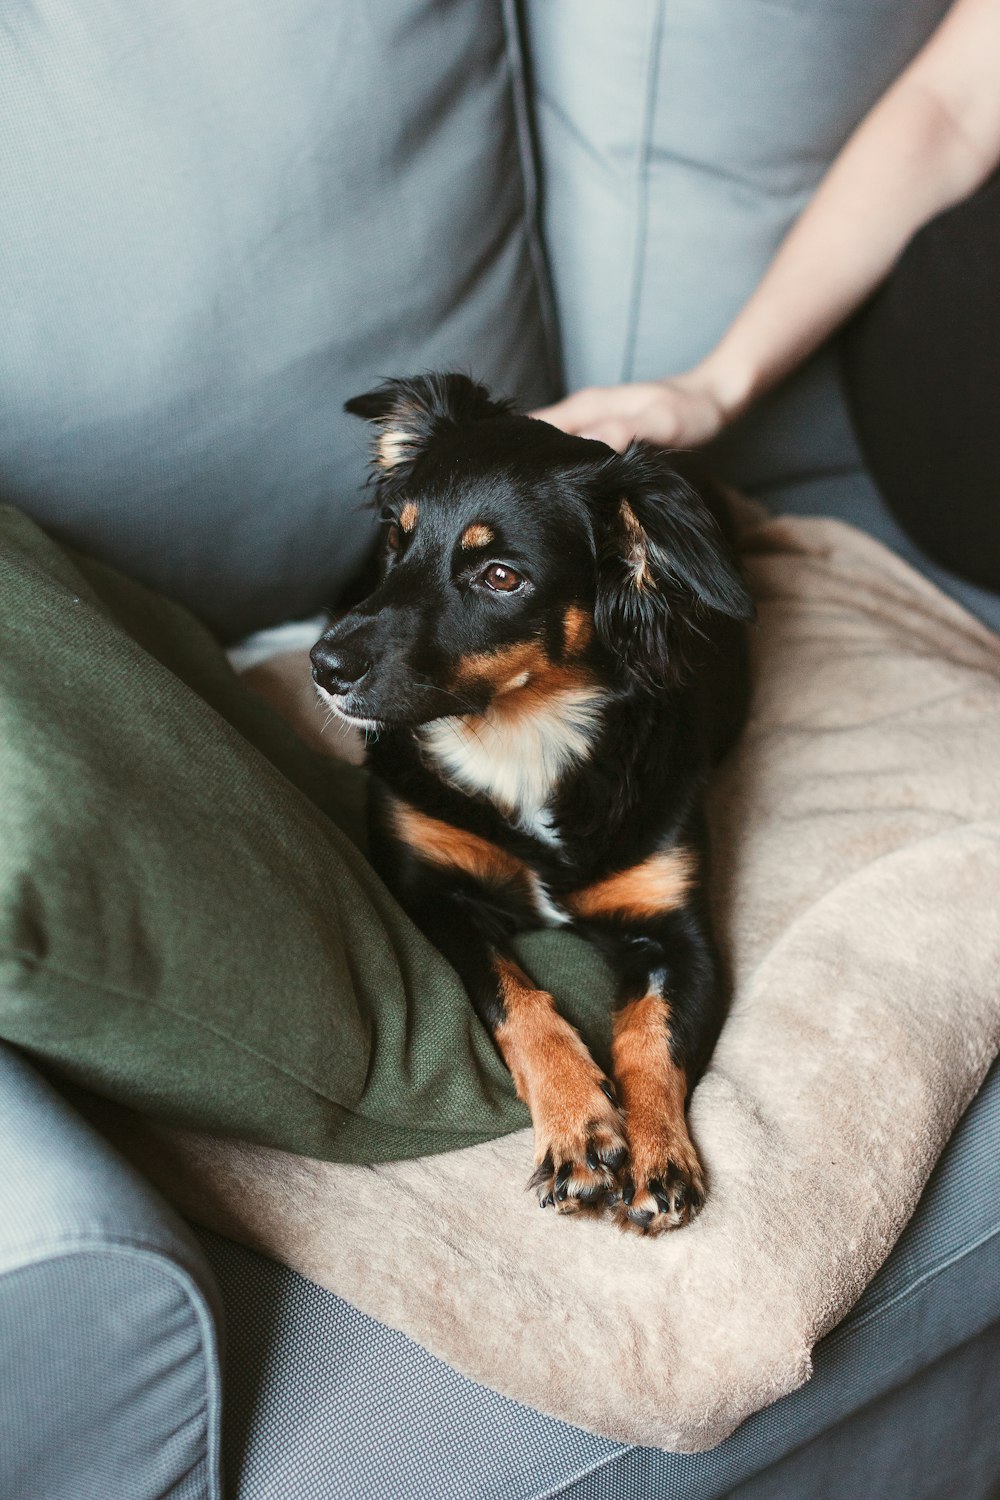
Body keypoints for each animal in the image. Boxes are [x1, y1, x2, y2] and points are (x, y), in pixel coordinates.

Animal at [310, 372, 749, 1230]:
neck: (523, 735)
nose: (324, 667)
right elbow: (519, 1000)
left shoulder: (680, 932)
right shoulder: (431, 892)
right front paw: (580, 1128)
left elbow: (652, 1037)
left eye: (501, 577)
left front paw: (658, 1152)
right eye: (396, 540)